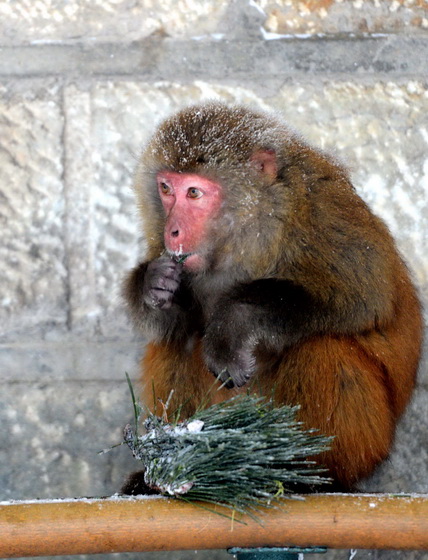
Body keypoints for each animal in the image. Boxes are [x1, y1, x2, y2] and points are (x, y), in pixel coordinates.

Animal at [122, 101, 422, 494]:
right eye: (166, 188)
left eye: (194, 193)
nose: (172, 231)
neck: (250, 228)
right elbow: (175, 319)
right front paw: (153, 284)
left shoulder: (319, 206)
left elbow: (366, 297)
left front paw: (236, 319)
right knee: (180, 340)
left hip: (371, 442)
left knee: (323, 346)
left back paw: (308, 474)